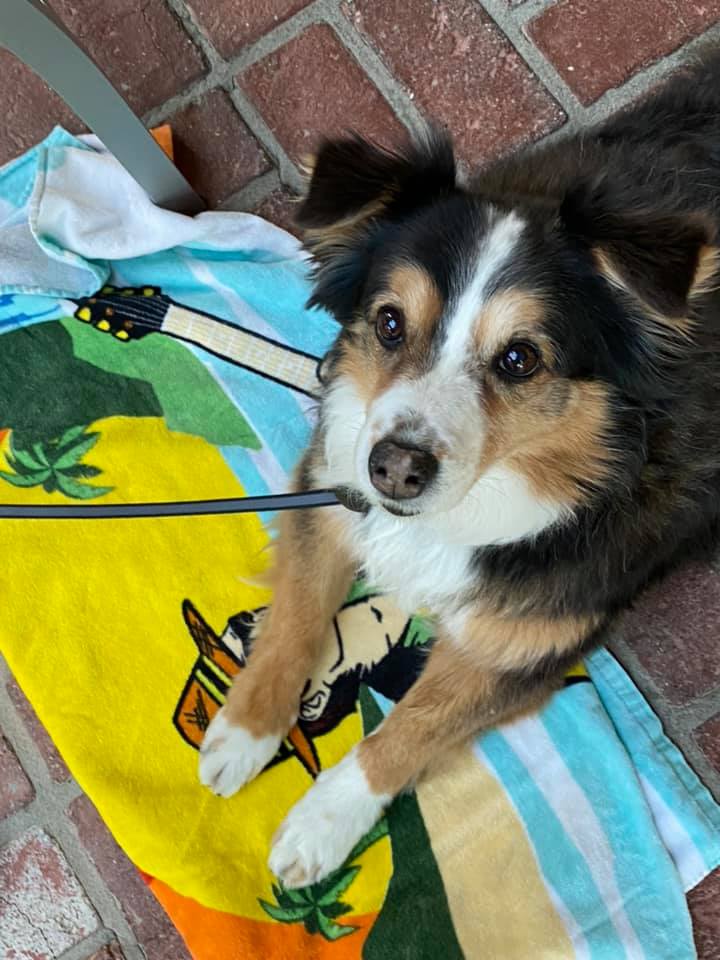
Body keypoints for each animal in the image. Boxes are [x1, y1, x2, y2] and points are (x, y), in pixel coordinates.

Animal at [199, 51, 720, 889]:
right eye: (388, 322)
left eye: (520, 359)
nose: (393, 470)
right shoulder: (333, 493)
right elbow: (298, 616)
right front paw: (245, 728)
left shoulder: (525, 642)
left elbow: (411, 727)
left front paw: (321, 825)